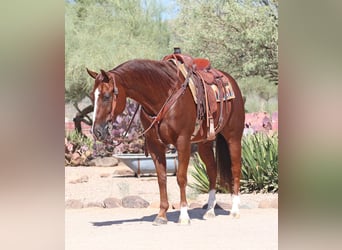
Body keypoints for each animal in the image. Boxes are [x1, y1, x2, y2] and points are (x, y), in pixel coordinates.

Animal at [87, 57, 244, 226]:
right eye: (92, 96)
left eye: (106, 96)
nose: (97, 131)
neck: (163, 95)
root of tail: (230, 81)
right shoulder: (155, 145)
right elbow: (161, 178)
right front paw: (161, 215)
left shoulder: (183, 142)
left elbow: (181, 178)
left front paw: (184, 216)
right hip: (205, 142)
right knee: (212, 170)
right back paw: (209, 210)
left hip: (233, 137)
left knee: (235, 169)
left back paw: (235, 210)